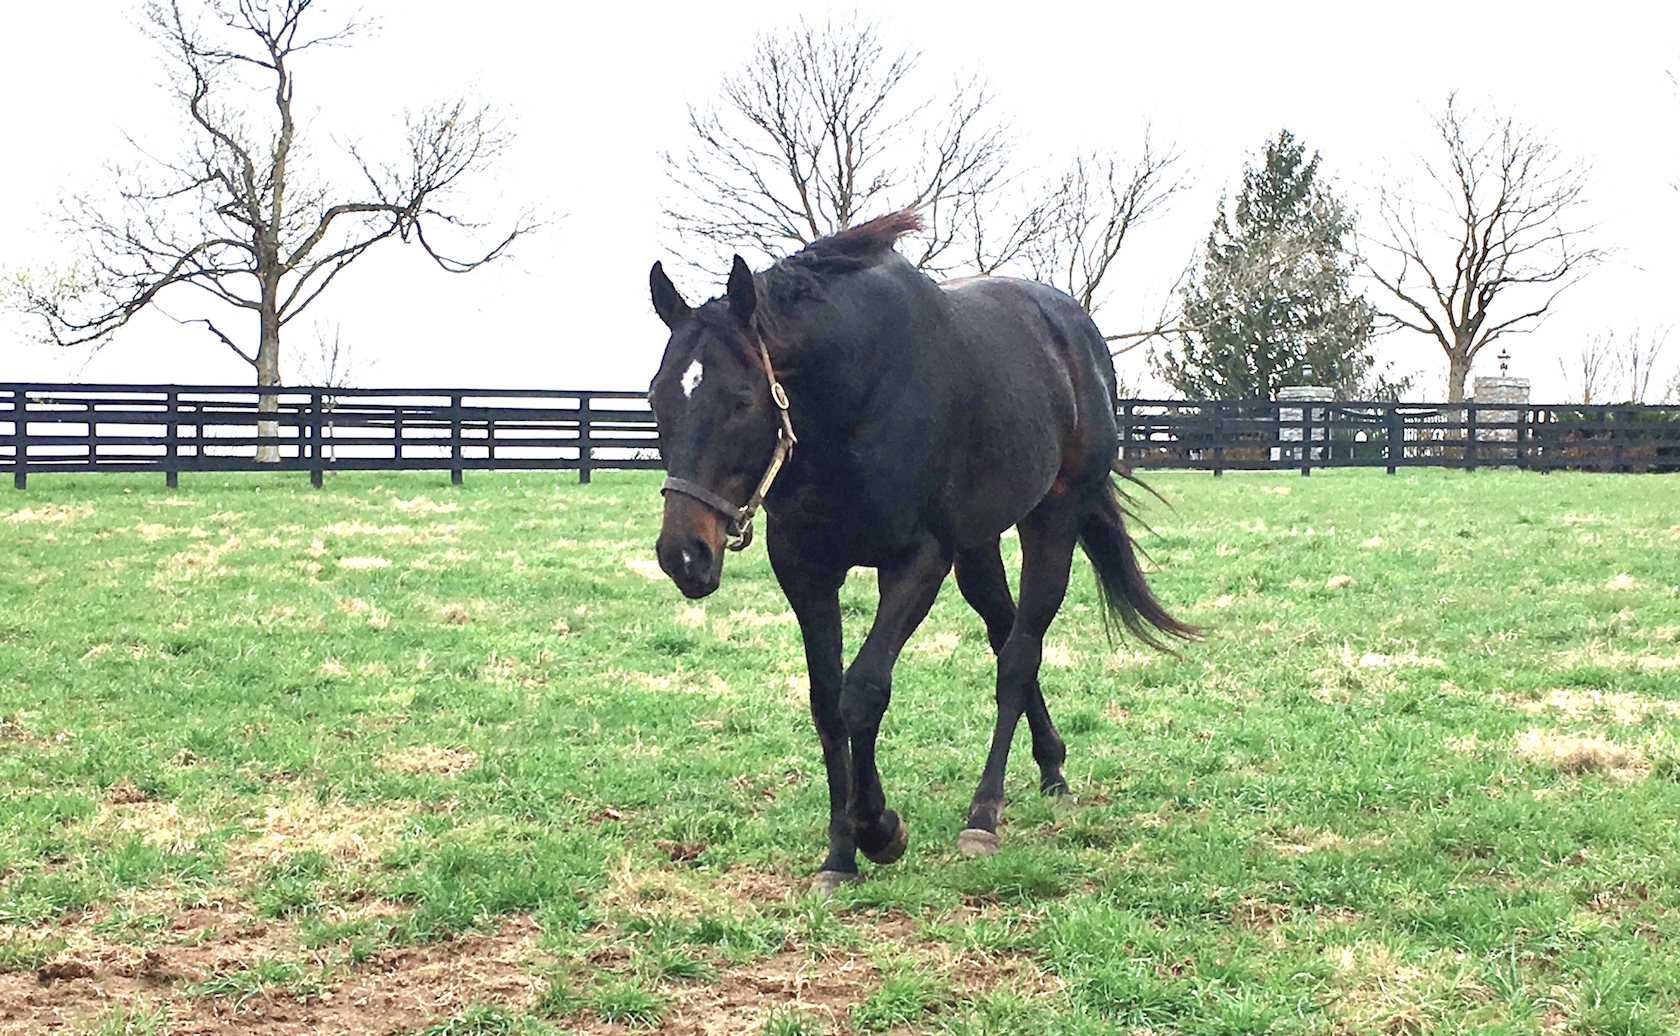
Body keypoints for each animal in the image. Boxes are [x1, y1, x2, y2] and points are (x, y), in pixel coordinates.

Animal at [641, 209, 1196, 886]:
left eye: (743, 399)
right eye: (656, 397)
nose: (684, 554)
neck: (855, 397)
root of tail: (1078, 334)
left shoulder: (918, 561)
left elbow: (863, 692)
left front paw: (878, 829)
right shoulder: (804, 566)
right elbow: (826, 702)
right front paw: (840, 852)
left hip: (1052, 520)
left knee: (1019, 655)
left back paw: (984, 814)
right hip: (979, 545)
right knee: (1005, 632)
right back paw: (1051, 768)